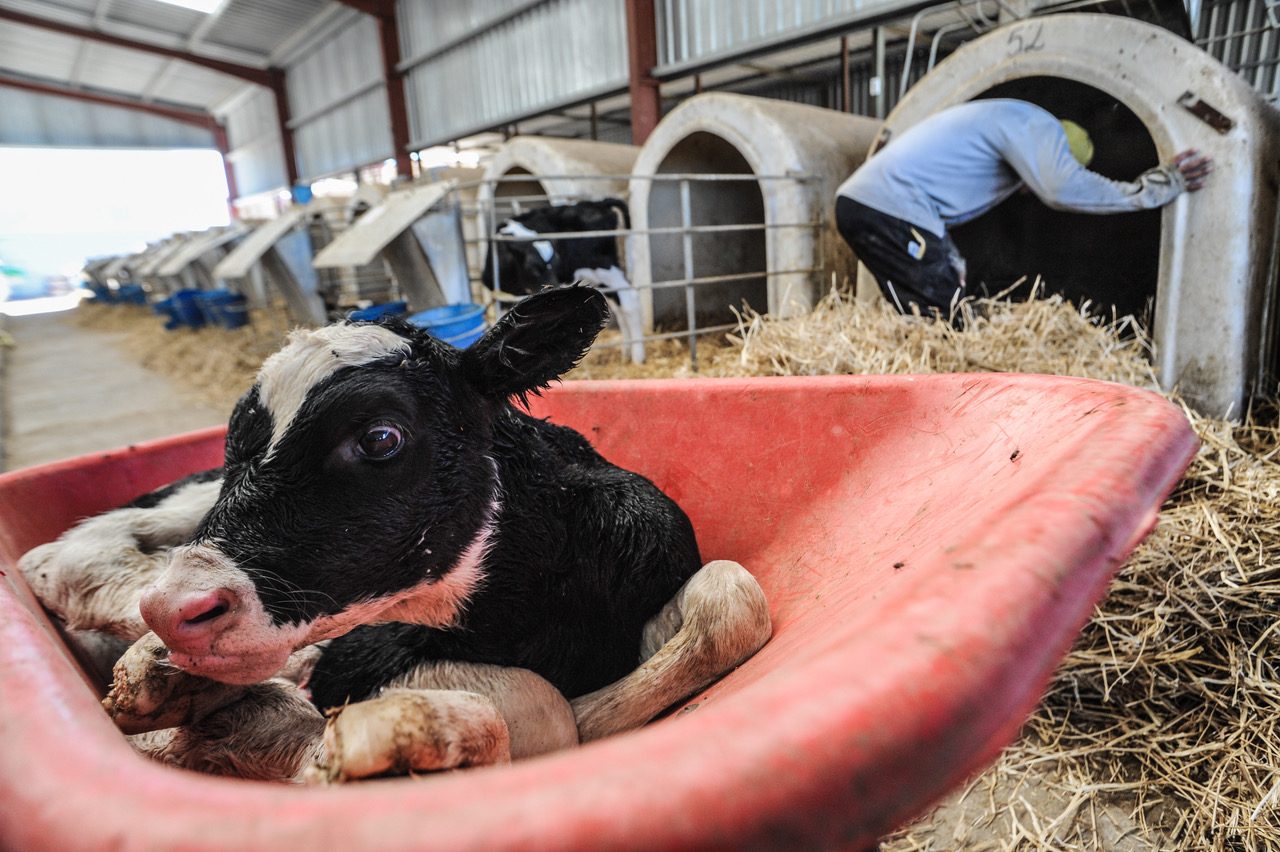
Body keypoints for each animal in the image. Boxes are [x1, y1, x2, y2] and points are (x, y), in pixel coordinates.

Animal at [22, 285, 768, 777]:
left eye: (380, 437)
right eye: (236, 441)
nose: (179, 610)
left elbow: (733, 597)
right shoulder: (363, 655)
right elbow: (543, 709)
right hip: (180, 508)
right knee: (64, 558)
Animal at [481, 197, 645, 360]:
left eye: (556, 264)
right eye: (533, 268)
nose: (553, 288)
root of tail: (597, 203)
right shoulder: (504, 300)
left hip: (605, 268)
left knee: (629, 300)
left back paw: (638, 356)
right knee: (618, 305)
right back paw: (626, 352)